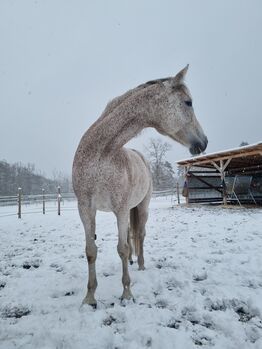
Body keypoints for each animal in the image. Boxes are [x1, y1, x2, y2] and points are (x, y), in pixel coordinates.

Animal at [72, 64, 208, 304]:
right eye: (188, 102)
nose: (204, 142)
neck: (101, 155)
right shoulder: (86, 209)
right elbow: (91, 251)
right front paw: (89, 298)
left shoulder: (120, 209)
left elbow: (123, 248)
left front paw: (126, 293)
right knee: (130, 235)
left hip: (141, 207)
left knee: (140, 235)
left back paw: (142, 265)